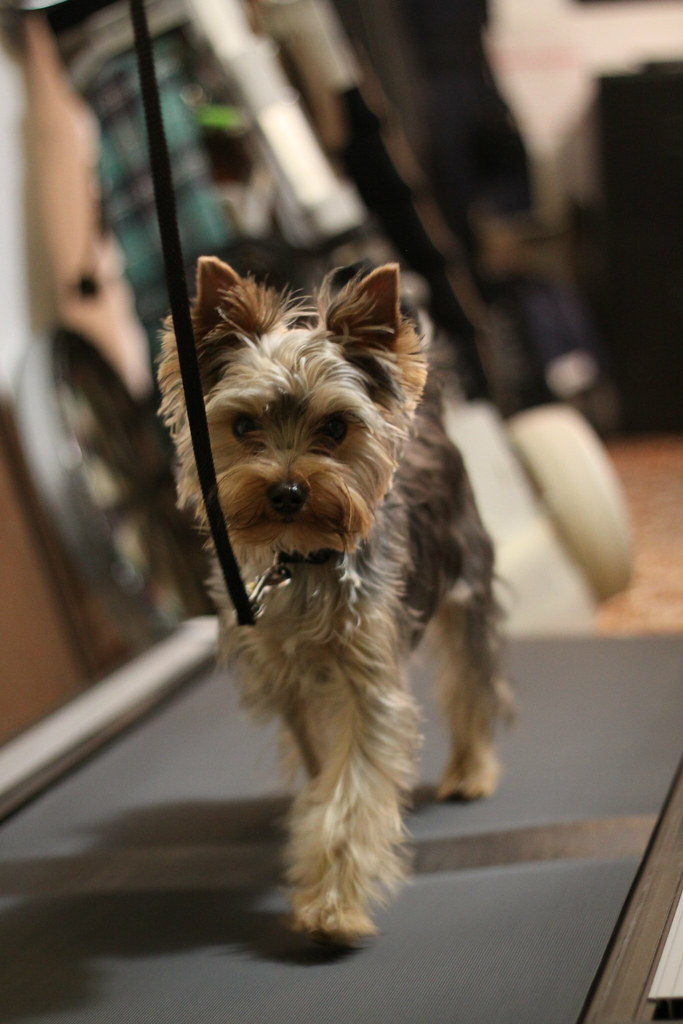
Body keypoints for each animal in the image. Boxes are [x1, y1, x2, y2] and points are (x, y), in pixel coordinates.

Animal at [156, 256, 507, 942]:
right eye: (243, 425)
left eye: (336, 427)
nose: (288, 491)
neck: (300, 562)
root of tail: (434, 420)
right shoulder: (289, 682)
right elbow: (325, 770)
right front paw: (314, 836)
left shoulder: (369, 678)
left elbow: (355, 787)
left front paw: (332, 905)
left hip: (466, 575)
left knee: (472, 670)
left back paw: (472, 769)